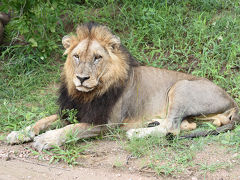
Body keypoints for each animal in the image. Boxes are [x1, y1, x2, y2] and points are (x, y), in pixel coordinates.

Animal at [6, 23, 239, 151]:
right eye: (76, 56)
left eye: (97, 58)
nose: (81, 78)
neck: (86, 95)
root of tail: (232, 100)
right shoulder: (71, 110)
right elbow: (44, 119)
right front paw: (18, 133)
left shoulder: (106, 123)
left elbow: (72, 129)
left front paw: (47, 139)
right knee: (184, 125)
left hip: (180, 86)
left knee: (172, 127)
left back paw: (136, 133)